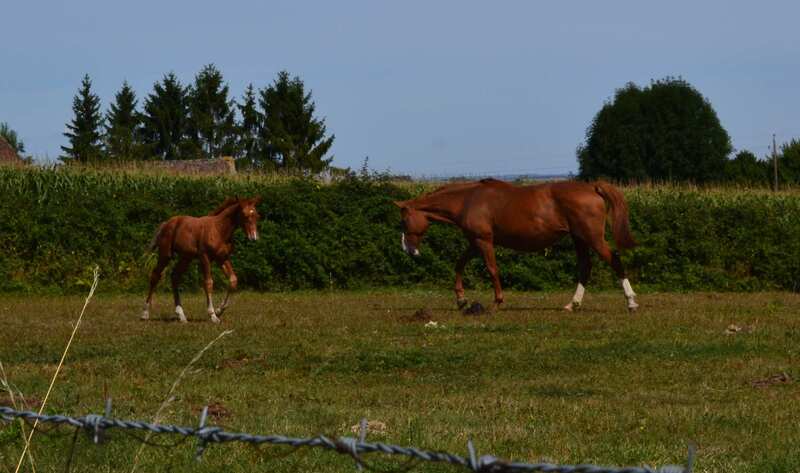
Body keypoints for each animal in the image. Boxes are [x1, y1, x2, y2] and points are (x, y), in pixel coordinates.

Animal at [392, 179, 636, 312]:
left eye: (403, 220)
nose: (407, 249)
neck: (468, 200)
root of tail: (592, 187)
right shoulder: (474, 242)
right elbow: (459, 265)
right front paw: (461, 300)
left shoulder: (483, 241)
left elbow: (492, 269)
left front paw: (497, 302)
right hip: (579, 239)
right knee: (585, 267)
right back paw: (572, 304)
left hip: (592, 238)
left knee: (614, 260)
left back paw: (631, 302)